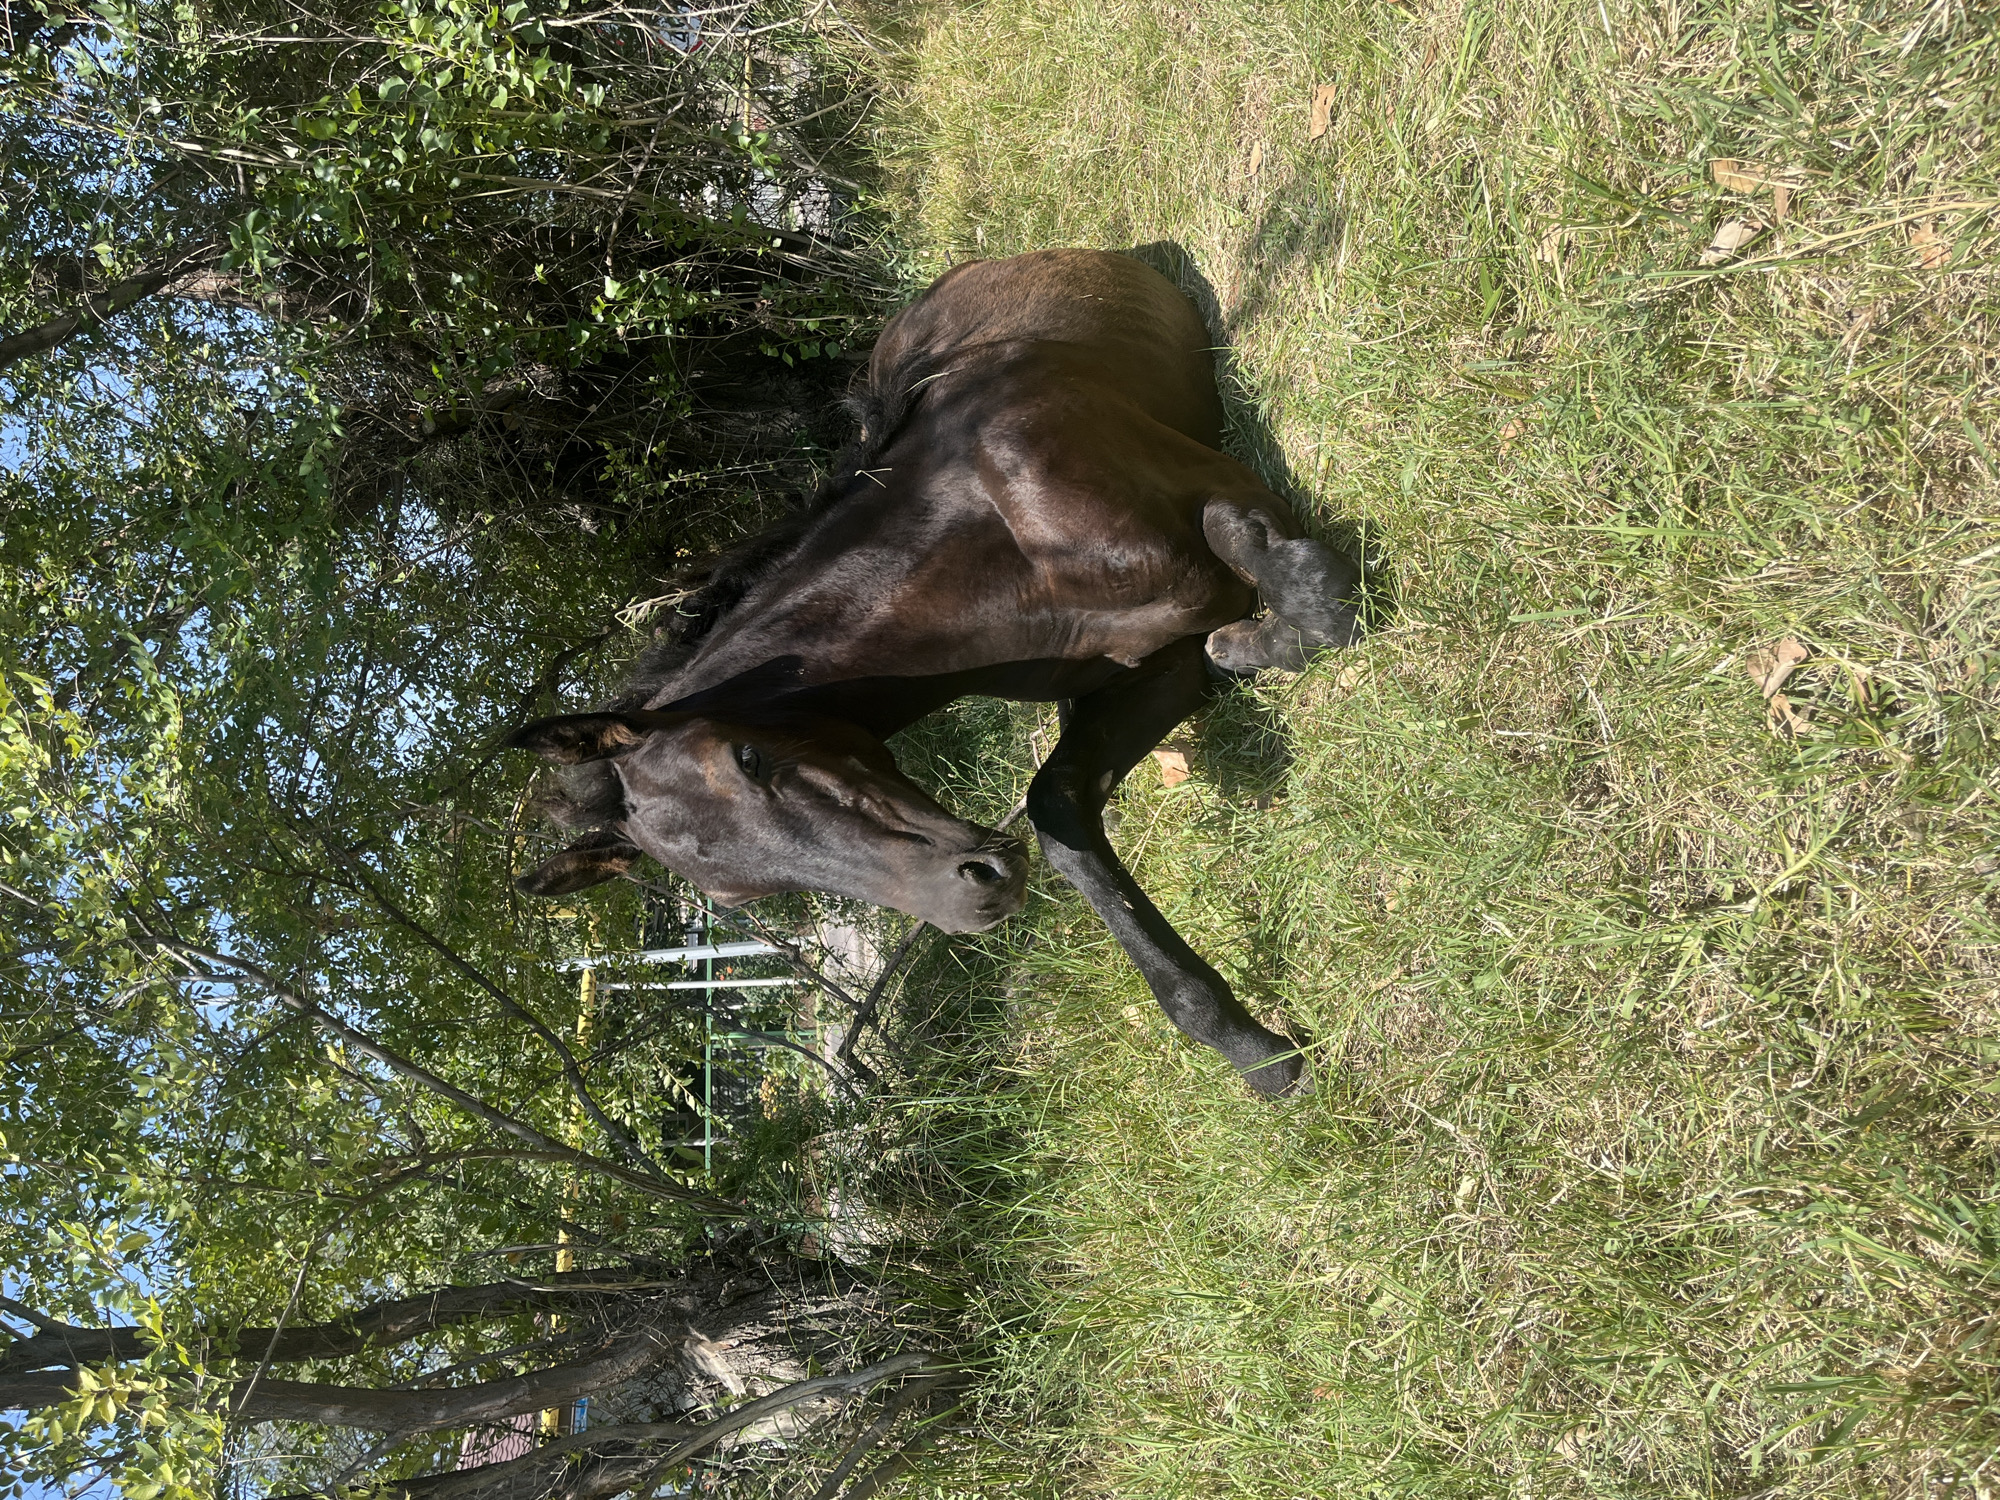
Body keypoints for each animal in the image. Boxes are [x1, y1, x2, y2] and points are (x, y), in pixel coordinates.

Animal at [509, 249, 1363, 1095]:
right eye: (739, 894)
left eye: (746, 758)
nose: (973, 895)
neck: (978, 548)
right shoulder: (1152, 668)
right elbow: (1059, 808)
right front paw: (1255, 1053)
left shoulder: (1215, 500)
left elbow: (1306, 594)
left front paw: (1260, 639)